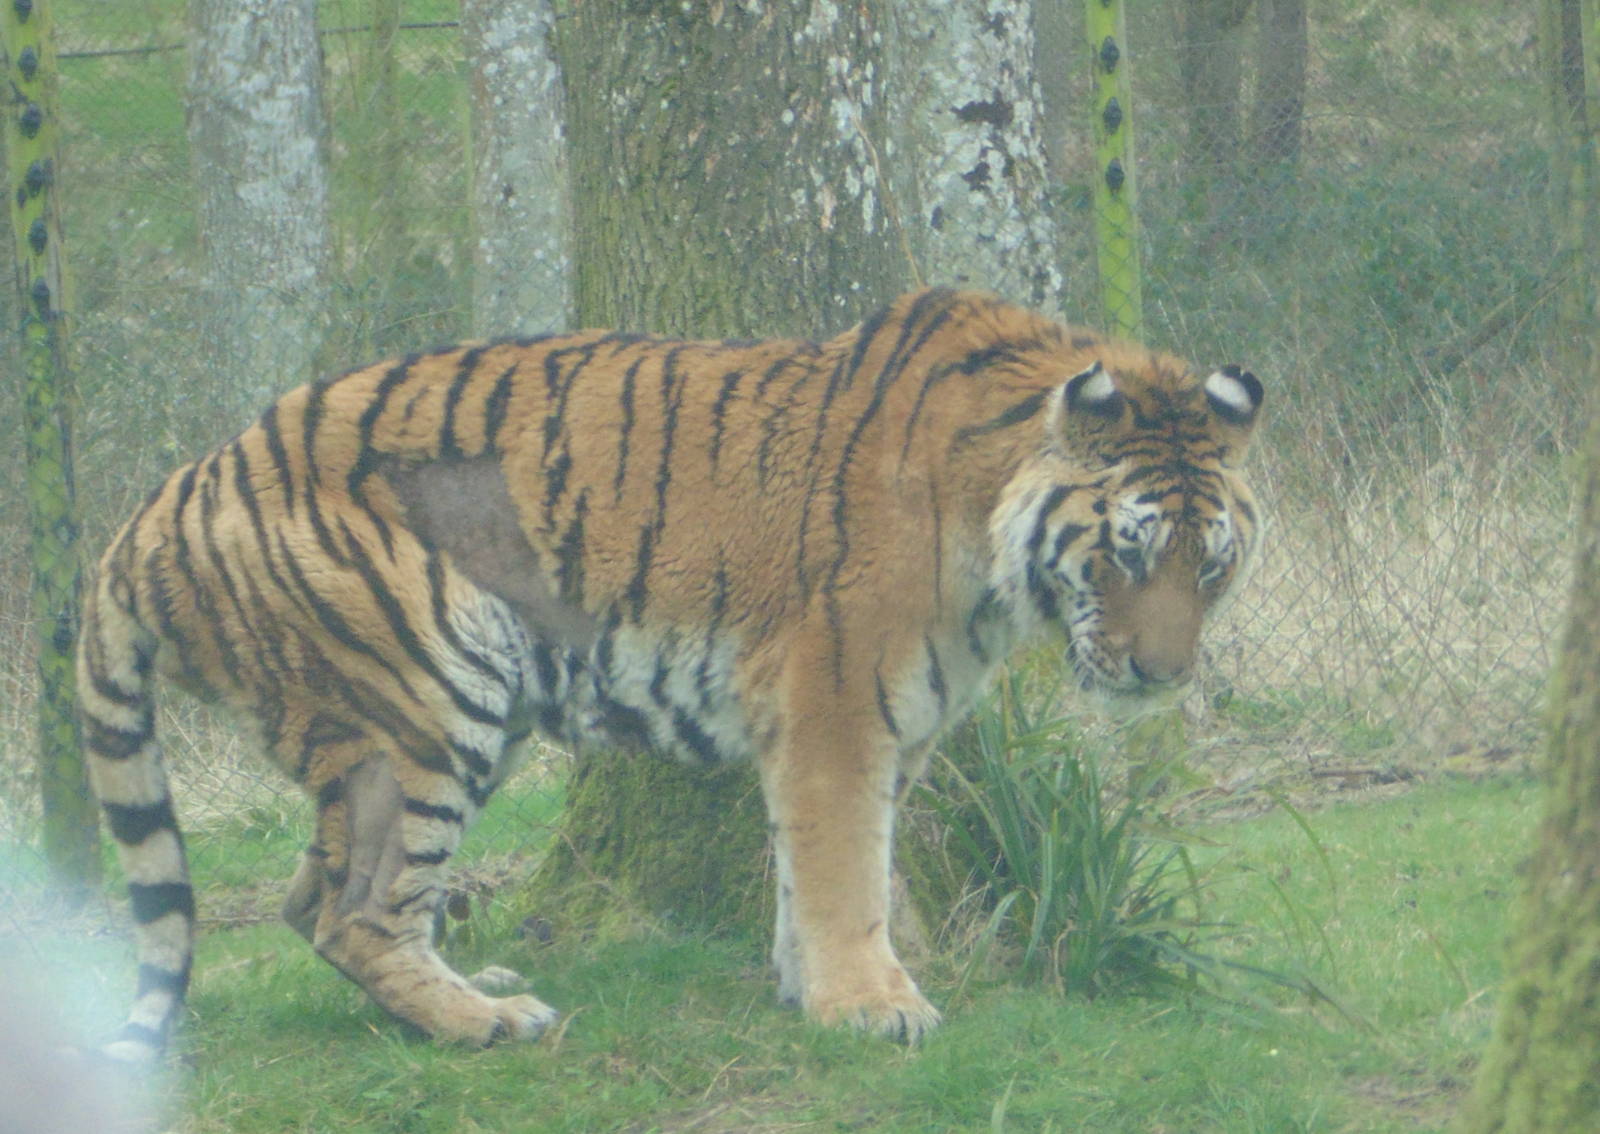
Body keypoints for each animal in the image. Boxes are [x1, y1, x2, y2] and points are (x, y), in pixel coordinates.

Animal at [76, 287, 1262, 1061]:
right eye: (1127, 556)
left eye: (1210, 566)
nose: (1162, 674)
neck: (989, 531)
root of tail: (167, 496)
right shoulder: (837, 706)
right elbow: (846, 870)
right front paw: (868, 1006)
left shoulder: (874, 723)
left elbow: (809, 868)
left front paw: (804, 988)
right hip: (430, 695)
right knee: (353, 909)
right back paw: (487, 1022)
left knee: (308, 898)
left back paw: (463, 992)